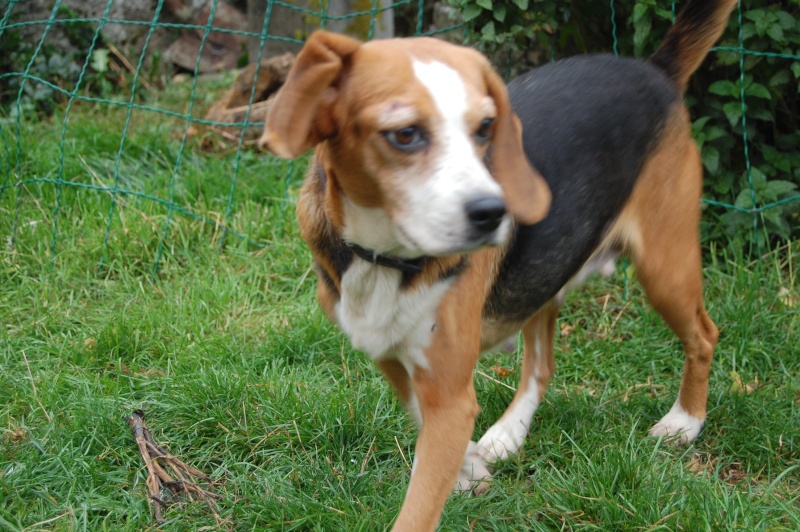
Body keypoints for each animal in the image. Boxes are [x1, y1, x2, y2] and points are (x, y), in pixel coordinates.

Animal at [258, 1, 736, 528]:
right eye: (404, 134)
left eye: (485, 128)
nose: (496, 213)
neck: (386, 259)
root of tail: (653, 69)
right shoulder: (393, 358)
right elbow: (423, 421)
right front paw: (469, 469)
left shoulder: (449, 396)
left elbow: (419, 506)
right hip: (547, 274)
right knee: (542, 365)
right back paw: (509, 433)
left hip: (664, 270)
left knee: (703, 335)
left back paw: (684, 422)